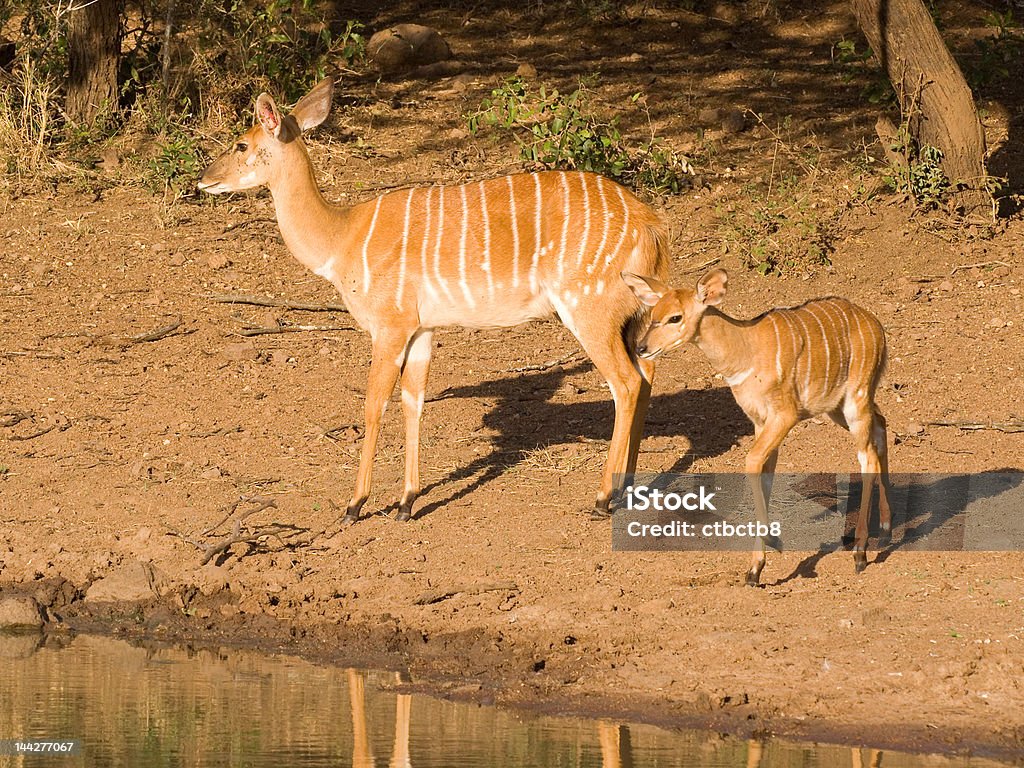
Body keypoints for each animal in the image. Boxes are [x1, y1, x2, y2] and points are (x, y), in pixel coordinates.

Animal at [197, 78, 671, 524]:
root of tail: (650, 225)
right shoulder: (422, 328)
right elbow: (414, 402)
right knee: (646, 375)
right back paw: (628, 490)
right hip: (631, 315)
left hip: (588, 308)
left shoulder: (389, 324)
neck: (342, 237)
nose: (203, 178)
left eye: (241, 143)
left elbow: (373, 404)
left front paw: (355, 505)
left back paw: (603, 498)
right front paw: (407, 503)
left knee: (625, 383)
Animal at [618, 268, 892, 585]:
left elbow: (751, 462)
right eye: (653, 313)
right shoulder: (760, 421)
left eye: (675, 317)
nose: (641, 348)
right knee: (881, 425)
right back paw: (886, 527)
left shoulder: (784, 415)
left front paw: (769, 548)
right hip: (838, 407)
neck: (745, 350)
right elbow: (764, 476)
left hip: (855, 400)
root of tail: (876, 326)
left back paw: (860, 552)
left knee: (867, 457)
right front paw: (759, 563)